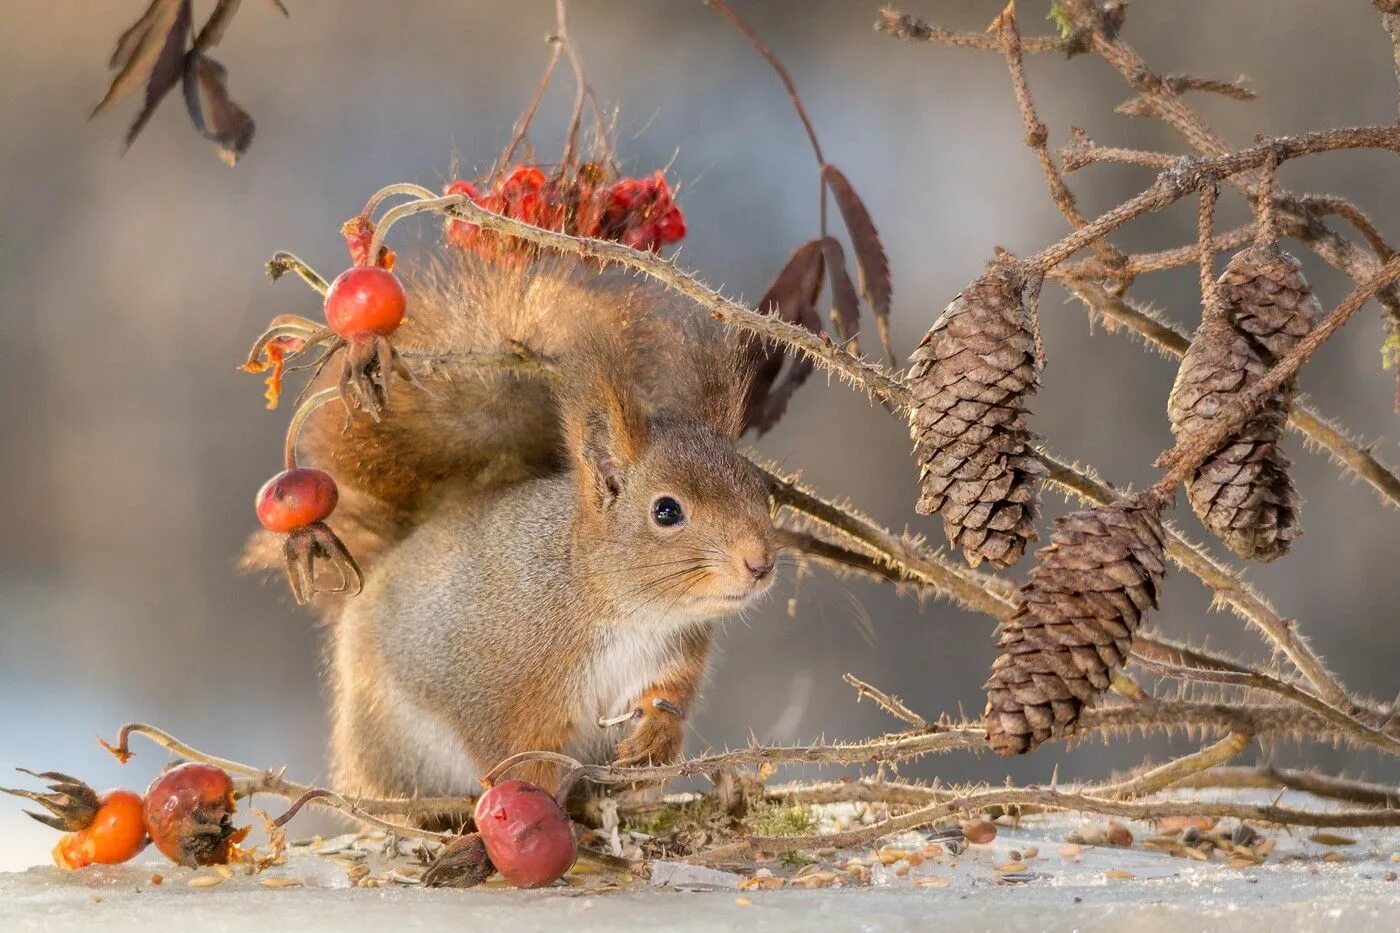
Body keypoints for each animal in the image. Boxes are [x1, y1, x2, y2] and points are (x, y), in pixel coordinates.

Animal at [247, 249, 784, 801]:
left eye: (764, 491)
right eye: (667, 511)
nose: (760, 562)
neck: (619, 608)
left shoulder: (673, 658)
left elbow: (665, 700)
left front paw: (654, 738)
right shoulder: (506, 693)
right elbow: (518, 757)